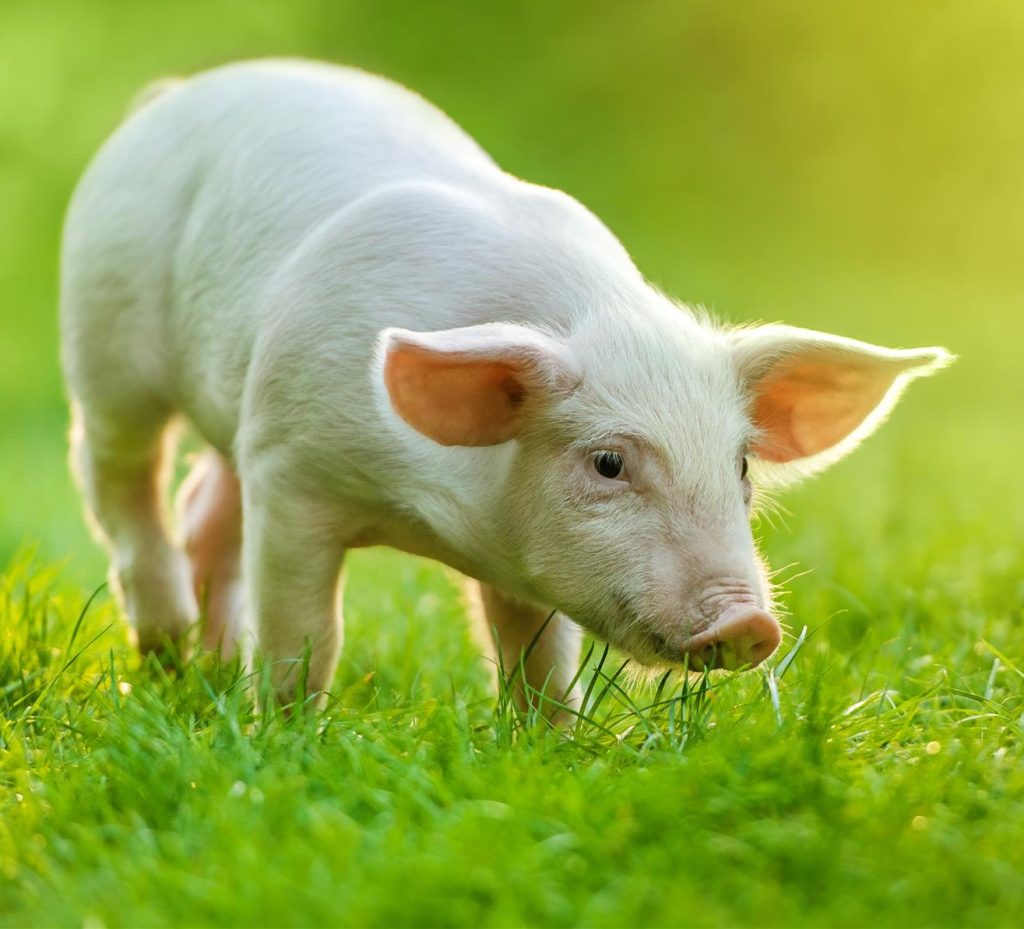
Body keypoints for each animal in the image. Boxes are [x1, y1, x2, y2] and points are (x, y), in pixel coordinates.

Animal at [60, 59, 951, 714]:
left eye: (739, 467)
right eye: (607, 463)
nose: (750, 619)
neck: (431, 520)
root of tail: (180, 93)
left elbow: (539, 660)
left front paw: (553, 750)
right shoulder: (291, 469)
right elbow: (305, 633)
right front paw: (284, 736)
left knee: (205, 506)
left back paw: (202, 666)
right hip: (104, 343)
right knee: (121, 481)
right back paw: (168, 644)